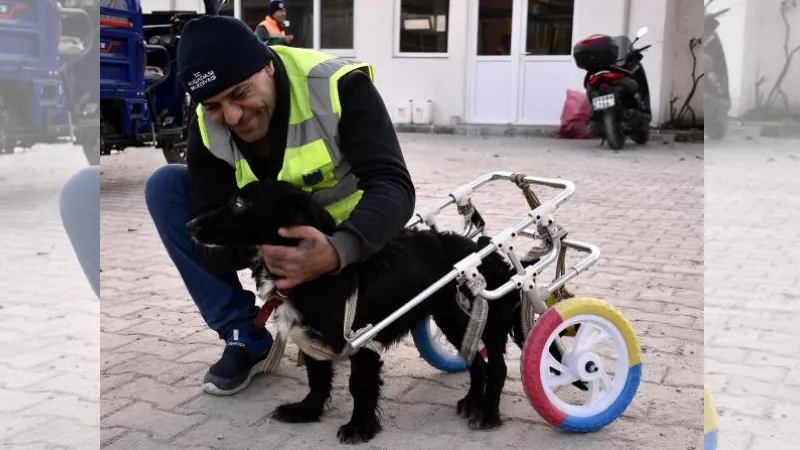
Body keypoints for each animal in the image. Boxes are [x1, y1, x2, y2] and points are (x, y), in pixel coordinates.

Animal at [188, 178, 536, 444]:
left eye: (239, 203)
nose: (190, 224)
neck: (317, 277)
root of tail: (490, 253)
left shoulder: (362, 340)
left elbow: (360, 386)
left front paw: (359, 427)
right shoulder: (312, 340)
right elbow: (317, 379)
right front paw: (306, 411)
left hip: (482, 320)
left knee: (497, 366)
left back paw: (487, 413)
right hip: (454, 320)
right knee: (475, 360)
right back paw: (472, 401)